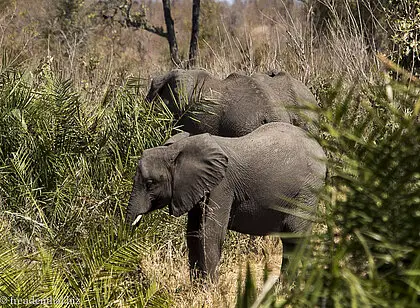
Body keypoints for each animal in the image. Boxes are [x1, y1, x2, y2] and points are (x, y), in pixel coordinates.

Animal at [126, 122, 326, 282]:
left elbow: (210, 233)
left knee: (296, 234)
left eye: (150, 183)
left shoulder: (222, 185)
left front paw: (210, 289)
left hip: (308, 190)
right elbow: (193, 233)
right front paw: (198, 288)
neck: (175, 149)